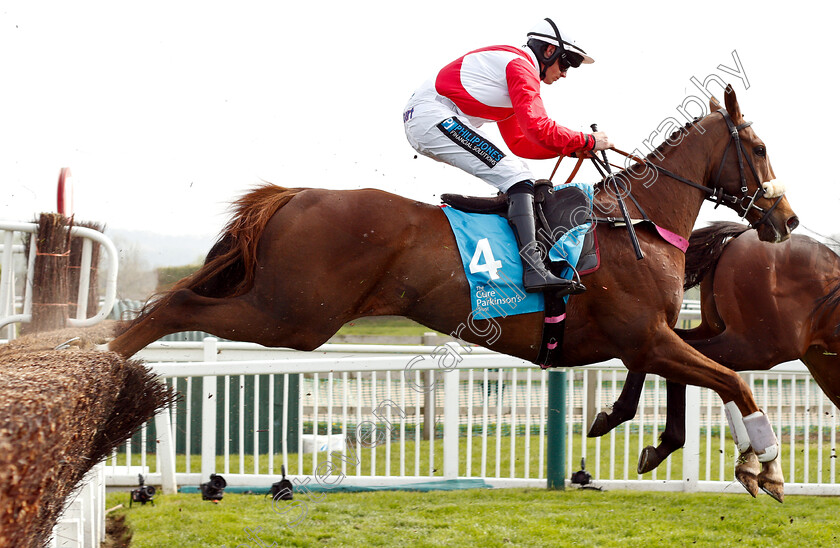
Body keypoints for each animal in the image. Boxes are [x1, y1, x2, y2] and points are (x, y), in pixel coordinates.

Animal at [111, 85, 800, 496]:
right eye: (760, 146)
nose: (786, 219)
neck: (637, 220)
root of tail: (296, 195)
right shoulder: (645, 335)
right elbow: (732, 381)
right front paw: (762, 465)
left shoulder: (644, 339)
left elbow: (675, 384)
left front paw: (637, 433)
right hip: (293, 315)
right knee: (176, 305)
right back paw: (104, 362)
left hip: (288, 310)